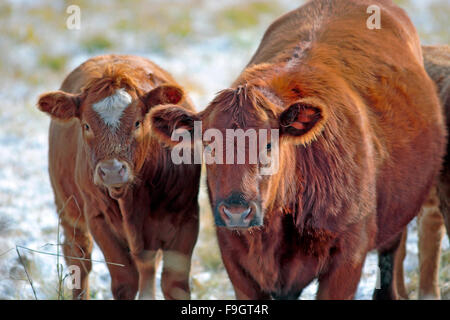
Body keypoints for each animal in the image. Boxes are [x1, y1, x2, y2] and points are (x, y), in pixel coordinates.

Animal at [37, 55, 200, 300]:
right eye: (86, 125)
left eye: (138, 123)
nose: (112, 170)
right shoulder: (98, 218)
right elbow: (125, 281)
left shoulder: (186, 216)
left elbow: (174, 284)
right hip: (67, 208)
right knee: (78, 257)